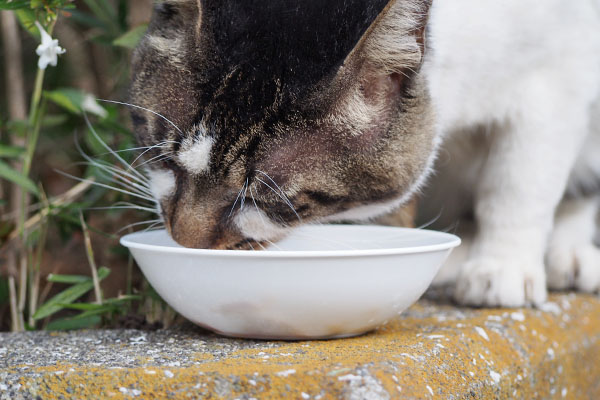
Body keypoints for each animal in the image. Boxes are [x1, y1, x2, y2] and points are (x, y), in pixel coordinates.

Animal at [127, 0, 600, 306]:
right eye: (164, 160)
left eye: (270, 199)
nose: (186, 242)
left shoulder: (559, 77)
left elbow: (520, 183)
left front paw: (502, 269)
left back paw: (568, 255)